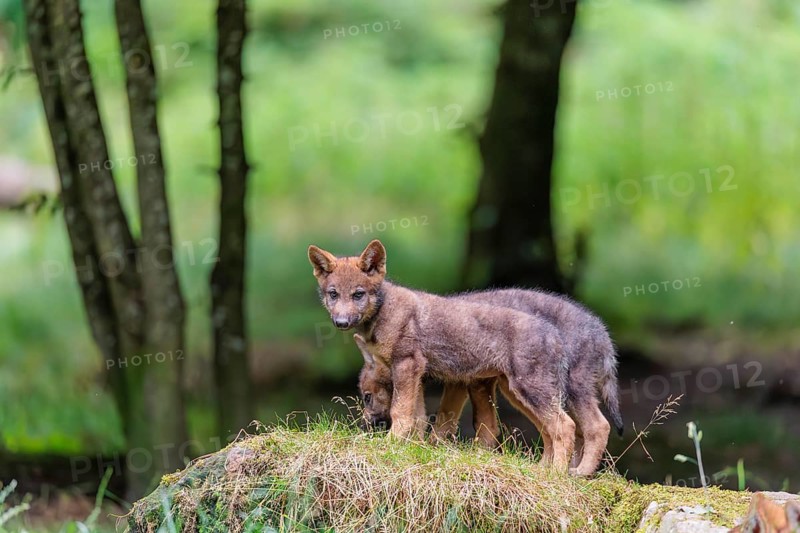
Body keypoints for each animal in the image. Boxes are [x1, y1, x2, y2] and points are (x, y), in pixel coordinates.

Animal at [308, 239, 577, 470]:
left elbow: (401, 413)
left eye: (358, 294)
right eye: (333, 294)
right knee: (550, 432)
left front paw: (390, 446)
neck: (385, 314)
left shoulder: (406, 364)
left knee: (566, 427)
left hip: (529, 392)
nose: (341, 322)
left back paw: (555, 475)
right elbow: (419, 418)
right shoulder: (416, 373)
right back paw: (541, 471)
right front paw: (412, 449)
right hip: (518, 395)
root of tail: (556, 335)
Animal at [355, 288, 623, 476]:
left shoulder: (465, 382)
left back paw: (579, 472)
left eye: (367, 397)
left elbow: (450, 421)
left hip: (560, 391)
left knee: (595, 427)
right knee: (563, 431)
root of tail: (601, 331)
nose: (364, 425)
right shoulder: (469, 382)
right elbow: (461, 422)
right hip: (523, 392)